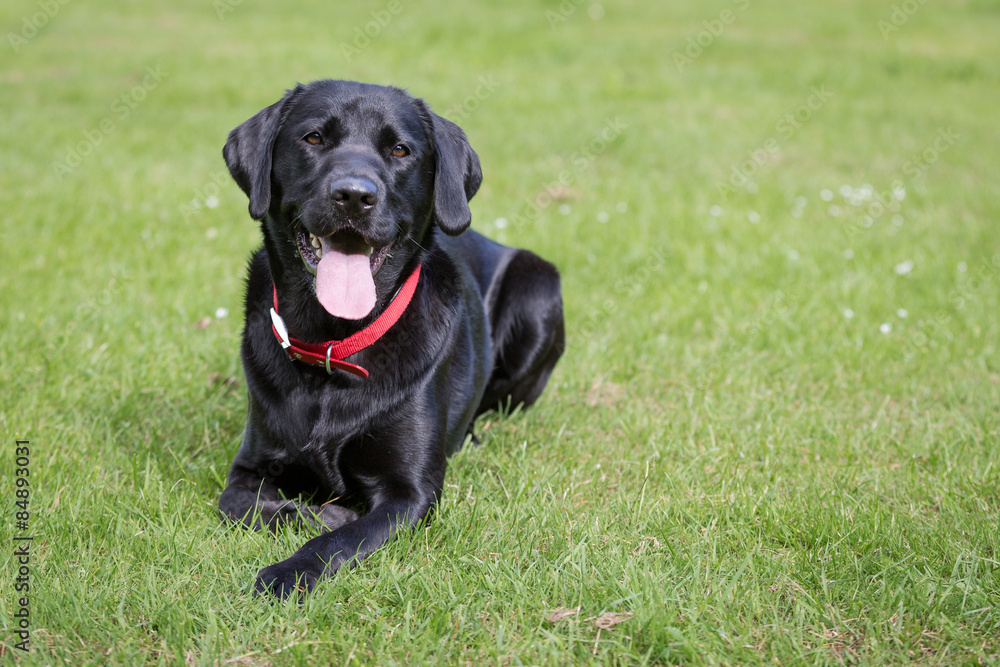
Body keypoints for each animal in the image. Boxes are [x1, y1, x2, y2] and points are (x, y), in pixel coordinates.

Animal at [218, 81, 564, 596]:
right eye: (314, 138)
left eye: (400, 149)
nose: (353, 195)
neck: (335, 344)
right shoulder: (249, 467)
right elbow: (242, 507)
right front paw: (319, 514)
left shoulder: (410, 491)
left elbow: (341, 540)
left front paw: (290, 571)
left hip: (538, 288)